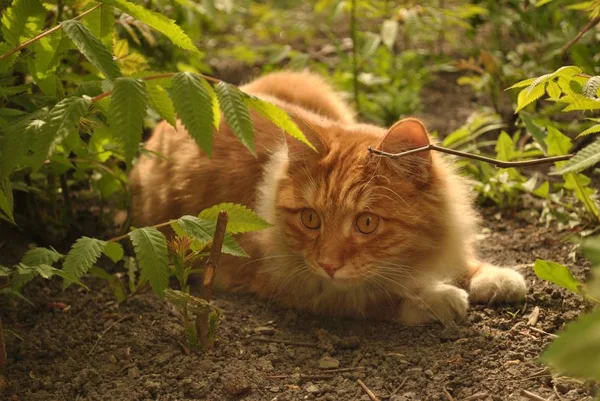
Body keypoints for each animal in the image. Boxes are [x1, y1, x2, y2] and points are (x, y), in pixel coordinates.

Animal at [130, 70, 524, 324]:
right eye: (310, 219)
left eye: (367, 222)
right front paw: (438, 299)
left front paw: (494, 276)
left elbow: (463, 259)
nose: (328, 265)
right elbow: (377, 296)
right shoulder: (288, 280)